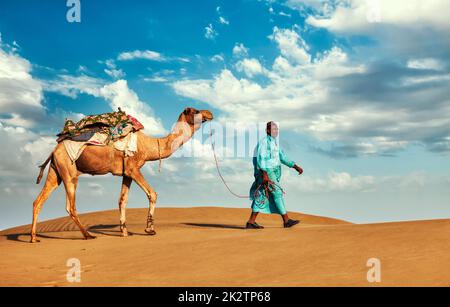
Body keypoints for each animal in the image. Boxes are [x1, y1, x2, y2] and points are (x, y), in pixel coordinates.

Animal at [30, 107, 214, 243]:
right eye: (196, 111)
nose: (210, 113)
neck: (149, 146)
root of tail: (54, 150)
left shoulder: (126, 173)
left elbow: (122, 200)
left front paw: (125, 231)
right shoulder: (133, 168)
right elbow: (152, 193)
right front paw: (150, 229)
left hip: (56, 172)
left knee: (38, 201)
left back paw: (33, 238)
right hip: (69, 172)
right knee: (70, 206)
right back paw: (88, 235)